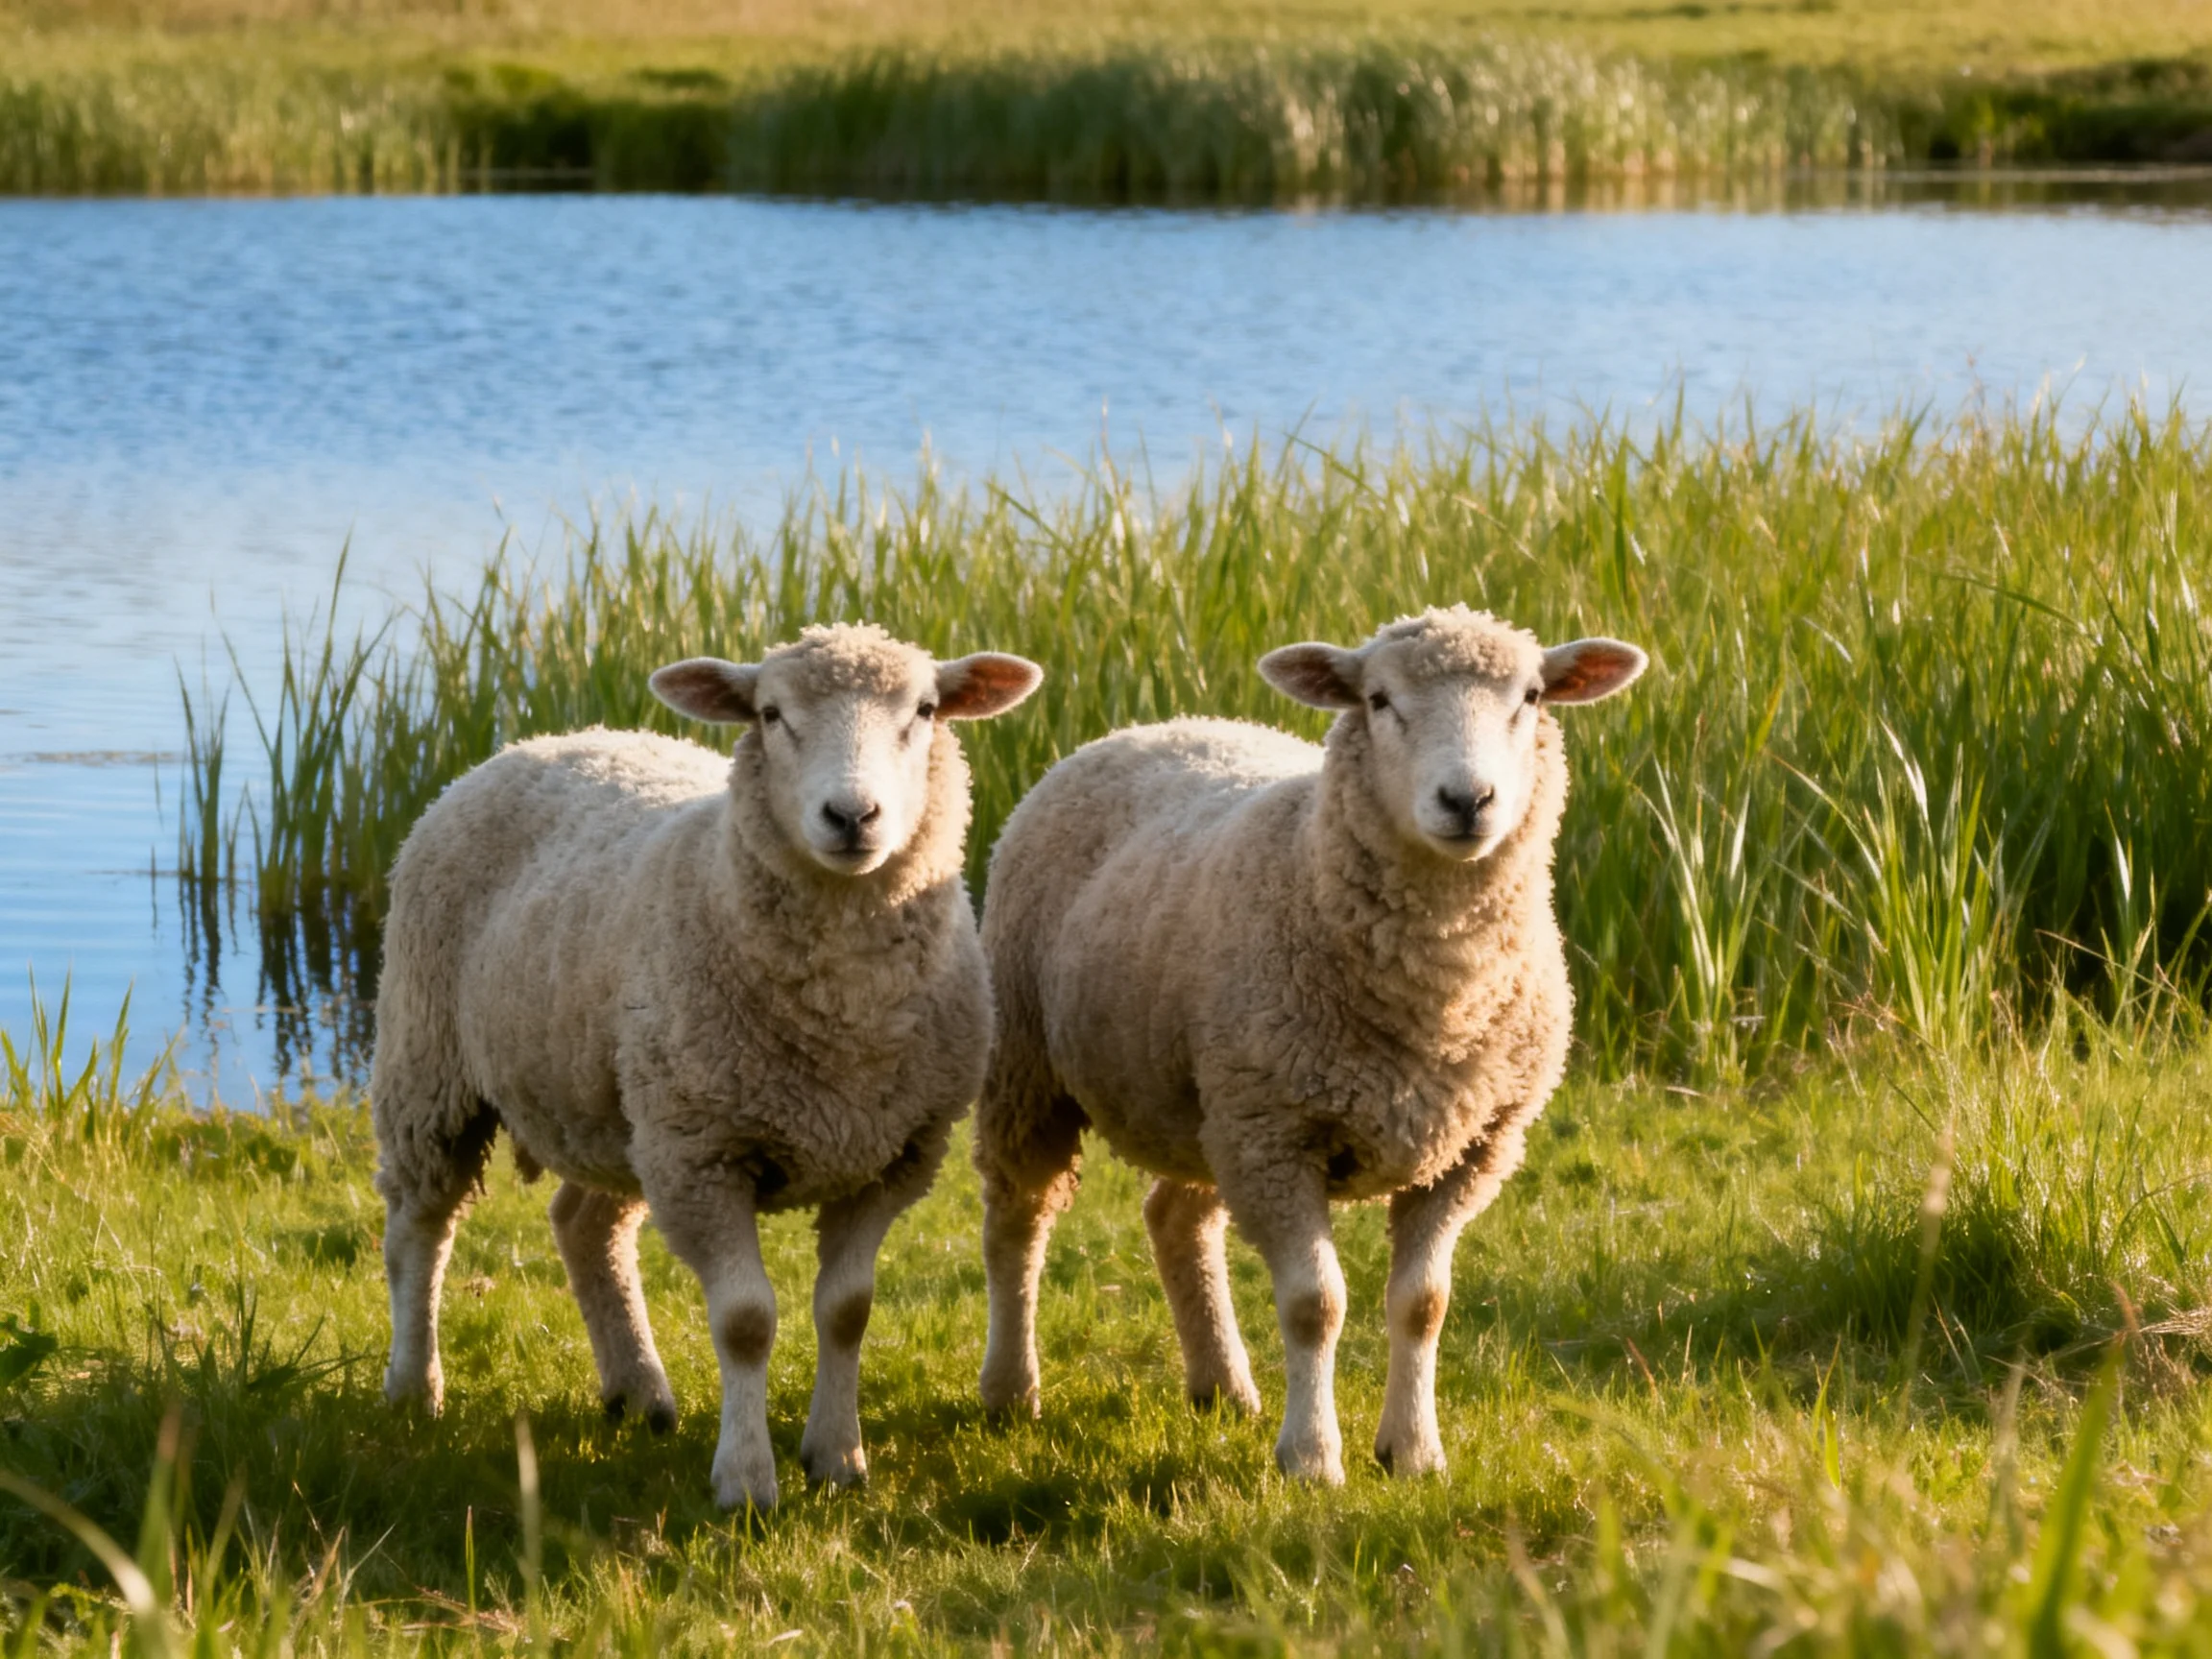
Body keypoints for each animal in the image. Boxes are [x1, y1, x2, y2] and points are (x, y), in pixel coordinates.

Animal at [371, 622, 1042, 1511]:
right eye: (771, 714)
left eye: (926, 710)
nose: (851, 815)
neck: (844, 1019)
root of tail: (545, 739)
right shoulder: (704, 1156)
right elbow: (746, 1322)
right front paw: (747, 1482)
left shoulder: (891, 1156)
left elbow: (848, 1310)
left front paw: (837, 1458)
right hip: (432, 1062)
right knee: (421, 1228)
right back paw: (416, 1387)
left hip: (624, 1106)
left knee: (585, 1227)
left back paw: (638, 1392)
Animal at [972, 605, 1644, 1483]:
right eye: (1380, 700)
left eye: (1530, 697)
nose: (1468, 800)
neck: (1437, 1000)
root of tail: (1156, 725)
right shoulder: (1277, 1137)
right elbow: (1314, 1304)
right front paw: (1313, 1458)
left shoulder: (1471, 1147)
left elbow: (1423, 1304)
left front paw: (1413, 1451)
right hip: (1034, 1068)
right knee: (1019, 1221)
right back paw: (1010, 1391)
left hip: (1208, 1100)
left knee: (1176, 1219)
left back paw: (1222, 1385)